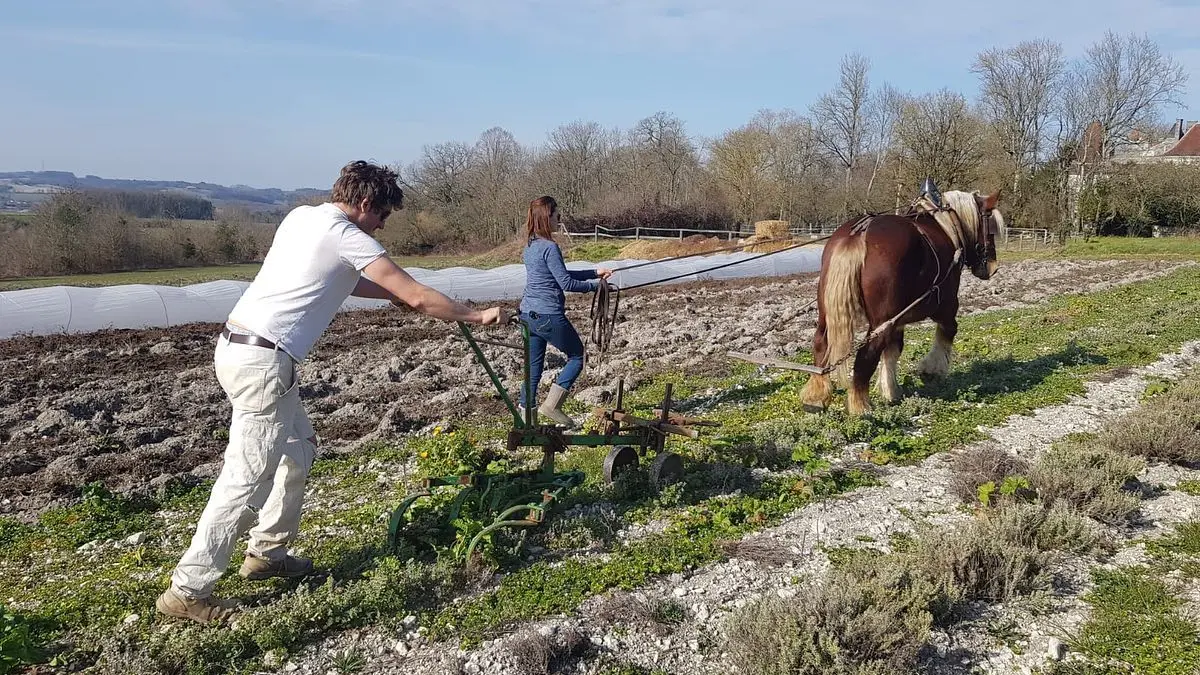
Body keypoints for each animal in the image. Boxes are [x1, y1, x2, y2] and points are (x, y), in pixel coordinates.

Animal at [801, 186, 1008, 413]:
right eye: (991, 229)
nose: (992, 267)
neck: (947, 226)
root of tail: (859, 232)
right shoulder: (946, 305)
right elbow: (948, 331)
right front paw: (931, 370)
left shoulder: (897, 320)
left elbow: (893, 350)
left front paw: (890, 390)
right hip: (881, 321)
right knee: (867, 354)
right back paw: (860, 406)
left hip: (828, 313)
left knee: (821, 343)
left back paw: (816, 396)